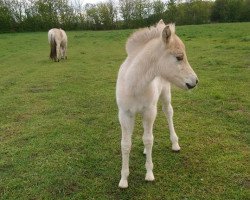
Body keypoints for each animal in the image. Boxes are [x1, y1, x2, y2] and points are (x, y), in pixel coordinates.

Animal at [115, 19, 199, 188]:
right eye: (179, 57)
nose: (194, 81)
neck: (134, 84)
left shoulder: (149, 111)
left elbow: (148, 140)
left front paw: (149, 174)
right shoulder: (124, 114)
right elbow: (125, 144)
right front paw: (123, 179)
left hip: (165, 95)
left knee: (168, 113)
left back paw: (175, 144)